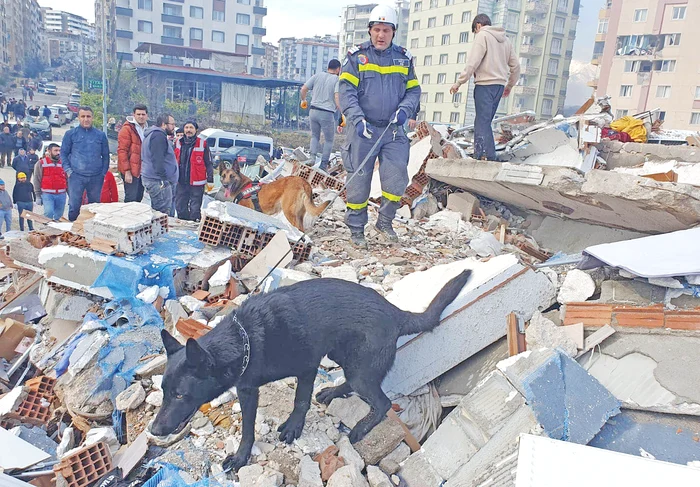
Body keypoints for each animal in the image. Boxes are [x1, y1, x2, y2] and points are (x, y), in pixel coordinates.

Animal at [151, 270, 474, 472]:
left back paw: (361, 427)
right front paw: (244, 453)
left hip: (358, 367)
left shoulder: (305, 368)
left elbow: (299, 402)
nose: (153, 431)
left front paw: (290, 430)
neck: (244, 340)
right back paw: (333, 392)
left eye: (180, 395)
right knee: (354, 383)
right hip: (340, 354)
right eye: (164, 392)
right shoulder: (247, 389)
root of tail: (396, 312)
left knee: (380, 402)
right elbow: (249, 426)